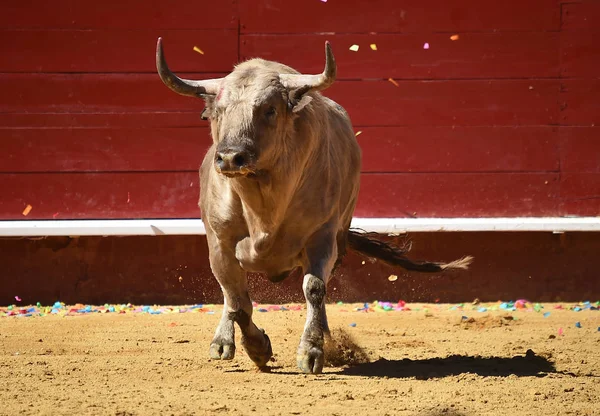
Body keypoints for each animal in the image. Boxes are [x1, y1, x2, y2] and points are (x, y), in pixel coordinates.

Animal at [157, 39, 472, 376]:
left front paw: (311, 350)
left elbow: (314, 289)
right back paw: (222, 342)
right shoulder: (220, 243)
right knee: (232, 298)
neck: (263, 206)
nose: (230, 156)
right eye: (217, 112)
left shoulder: (322, 236)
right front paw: (257, 347)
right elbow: (237, 301)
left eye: (269, 109)